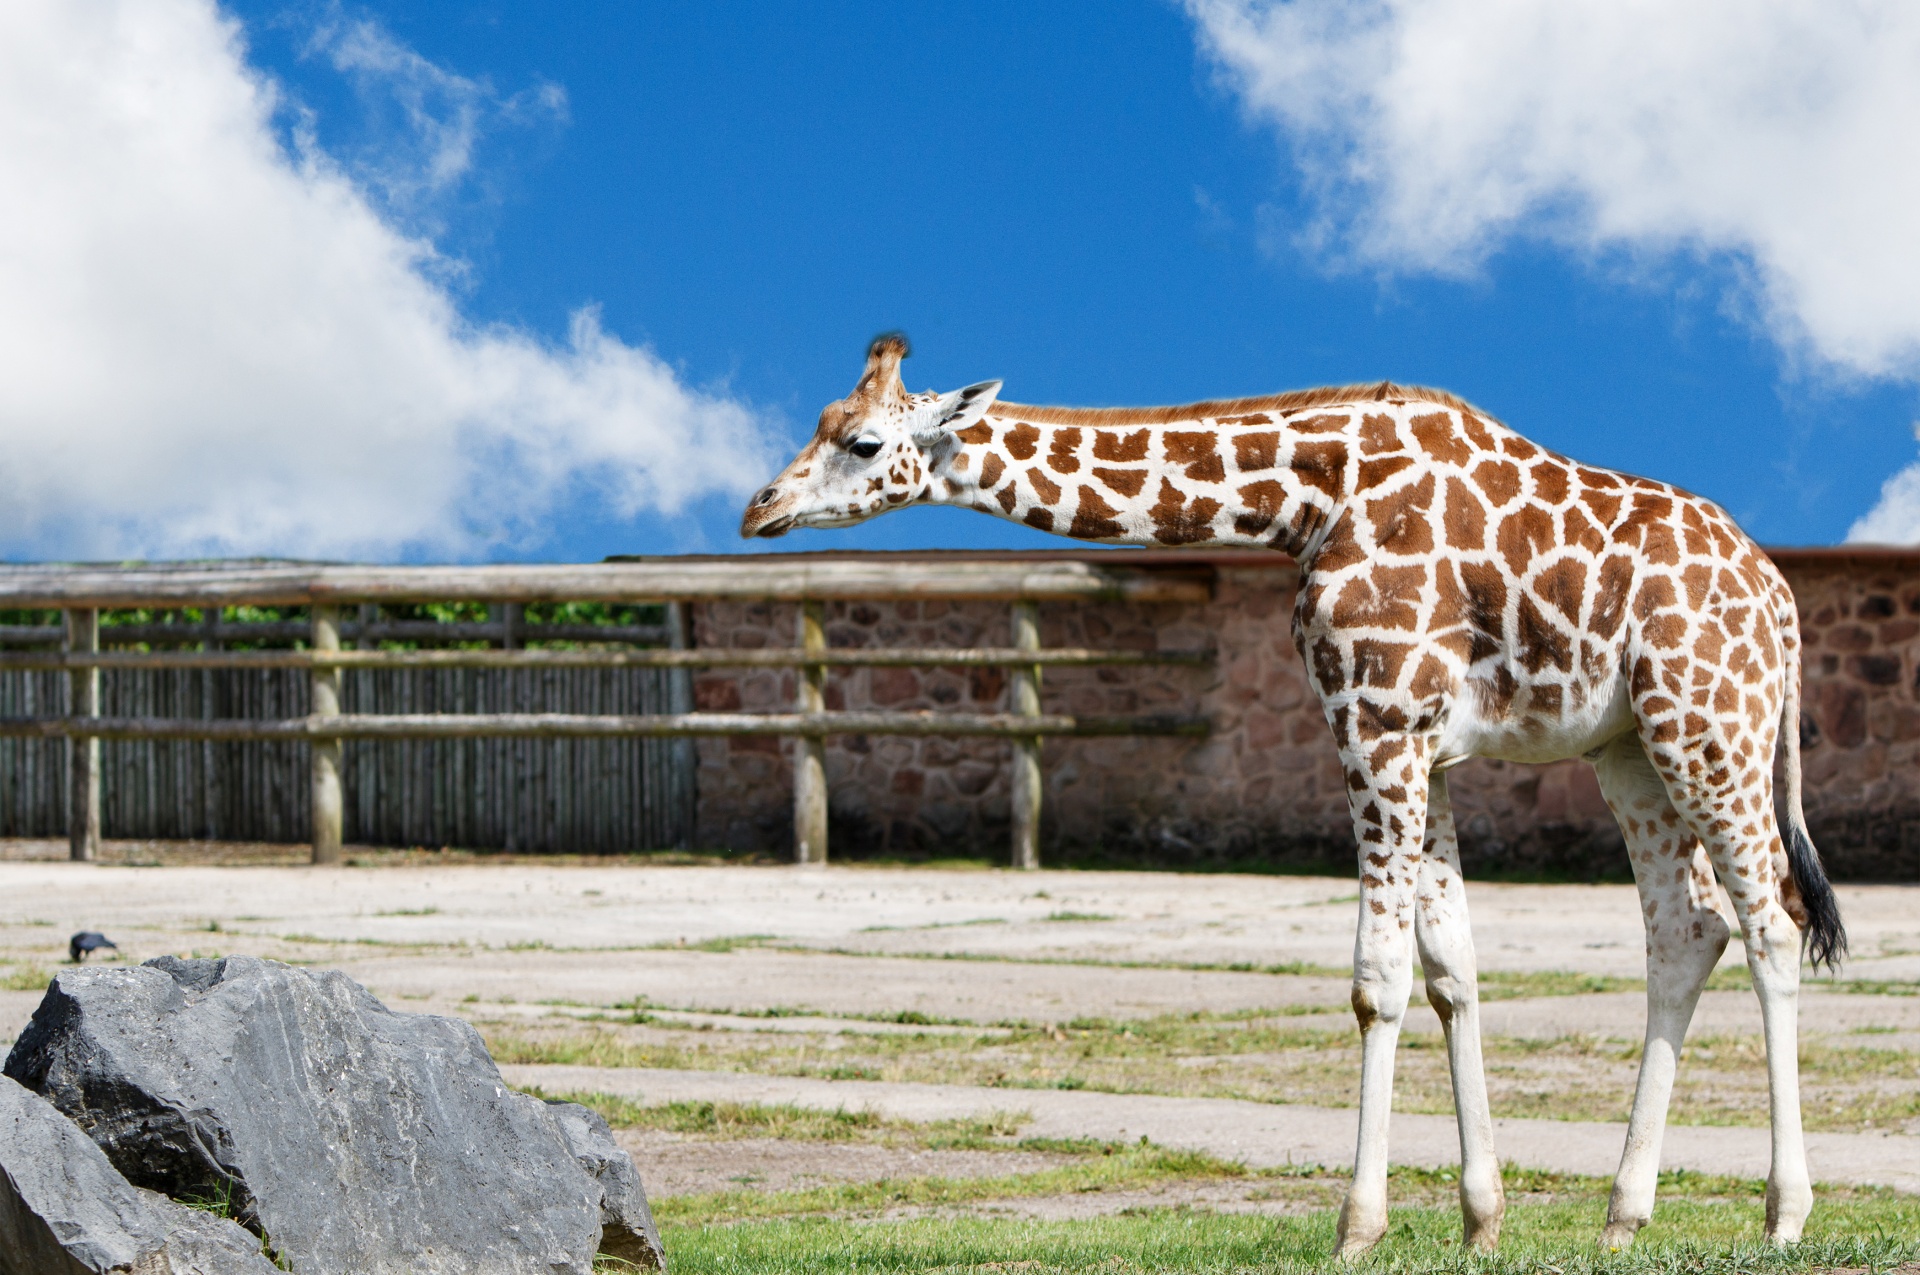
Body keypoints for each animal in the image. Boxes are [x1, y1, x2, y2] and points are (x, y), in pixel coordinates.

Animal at [737, 334, 1843, 1259]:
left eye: (863, 440)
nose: (759, 508)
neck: (1304, 501)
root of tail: (1782, 599)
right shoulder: (1426, 748)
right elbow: (1452, 970)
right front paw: (1480, 1220)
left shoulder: (1376, 725)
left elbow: (1376, 982)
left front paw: (1357, 1227)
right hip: (1629, 748)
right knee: (1687, 928)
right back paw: (1623, 1213)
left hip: (1710, 724)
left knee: (1771, 921)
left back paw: (1784, 1213)